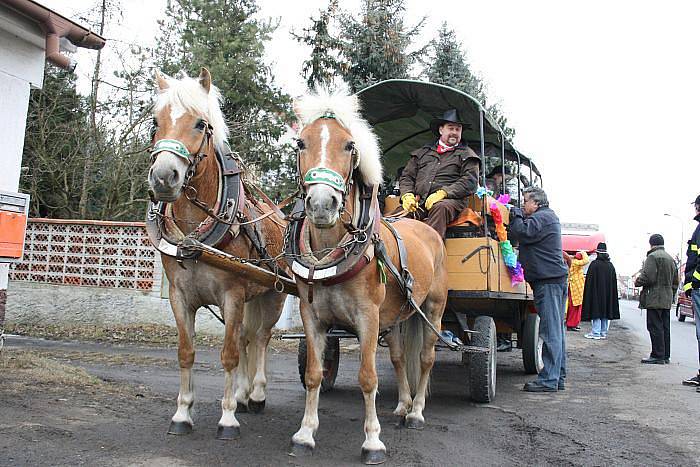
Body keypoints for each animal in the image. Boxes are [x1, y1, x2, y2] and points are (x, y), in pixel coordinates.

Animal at [148, 67, 288, 440]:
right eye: (155, 122)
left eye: (200, 124)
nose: (164, 177)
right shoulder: (180, 296)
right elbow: (187, 352)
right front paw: (182, 414)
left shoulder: (232, 295)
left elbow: (228, 355)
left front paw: (227, 419)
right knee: (245, 338)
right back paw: (241, 395)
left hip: (273, 294)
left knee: (261, 338)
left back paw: (257, 394)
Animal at [288, 87, 448, 464]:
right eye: (301, 142)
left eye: (349, 145)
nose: (322, 204)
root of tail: (425, 226)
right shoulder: (311, 315)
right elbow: (314, 373)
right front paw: (305, 433)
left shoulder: (368, 317)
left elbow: (368, 377)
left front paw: (373, 440)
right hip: (400, 316)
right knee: (400, 357)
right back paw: (403, 405)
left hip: (433, 309)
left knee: (426, 357)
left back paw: (416, 411)